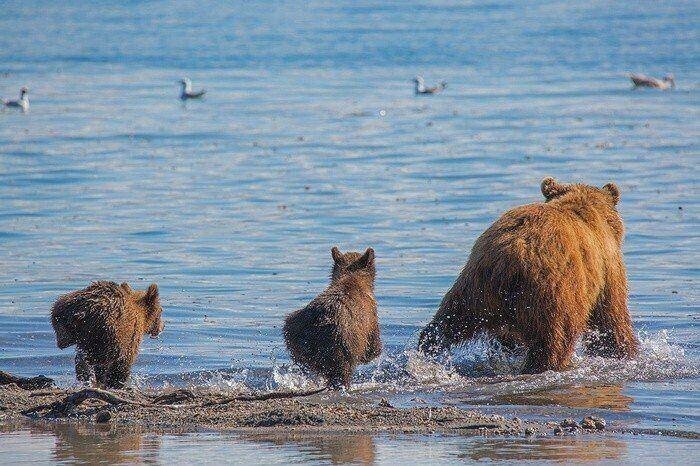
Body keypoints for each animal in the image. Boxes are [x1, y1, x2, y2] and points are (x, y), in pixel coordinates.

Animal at [284, 248, 382, 390]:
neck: (351, 276)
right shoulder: (370, 316)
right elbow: (373, 346)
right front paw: (373, 353)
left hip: (295, 334)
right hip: (343, 341)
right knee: (343, 371)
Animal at [422, 177, 640, 374]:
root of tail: (510, 254)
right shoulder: (607, 267)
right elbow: (611, 316)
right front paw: (624, 352)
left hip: (475, 286)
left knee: (448, 321)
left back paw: (427, 349)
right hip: (552, 291)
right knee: (555, 339)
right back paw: (545, 364)